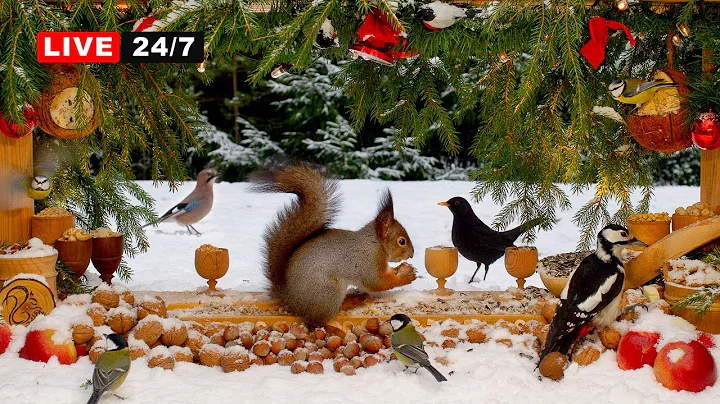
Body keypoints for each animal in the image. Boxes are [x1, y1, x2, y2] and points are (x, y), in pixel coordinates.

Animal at [250, 161, 417, 325]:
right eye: (401, 241)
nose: (412, 254)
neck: (375, 243)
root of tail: (290, 299)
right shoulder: (368, 263)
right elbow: (377, 282)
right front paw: (407, 278)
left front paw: (401, 269)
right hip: (329, 292)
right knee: (315, 321)